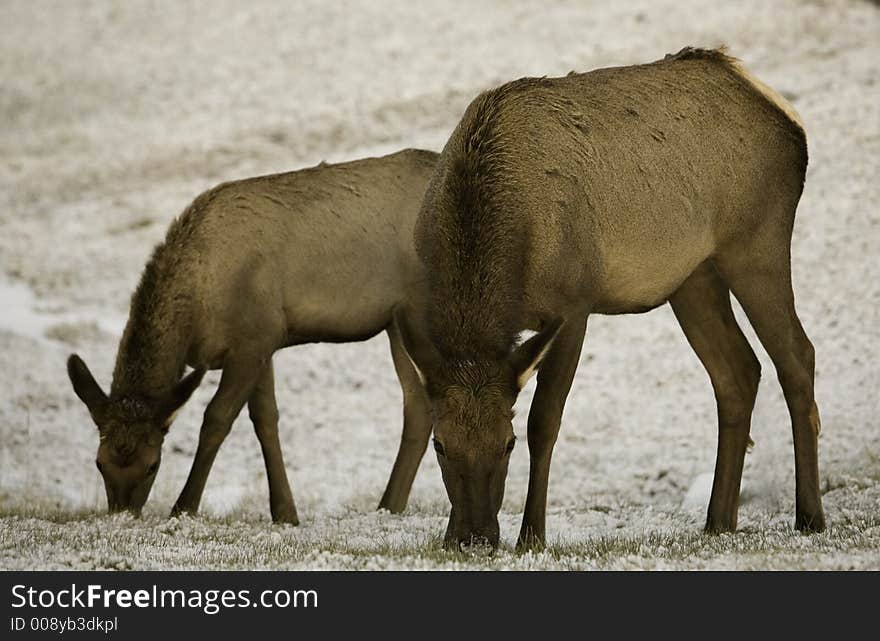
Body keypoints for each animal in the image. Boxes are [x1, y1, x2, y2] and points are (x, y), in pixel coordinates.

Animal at [67, 148, 438, 524]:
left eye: (152, 465)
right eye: (99, 463)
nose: (122, 516)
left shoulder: (253, 341)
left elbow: (216, 419)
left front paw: (183, 507)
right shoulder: (261, 342)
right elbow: (265, 419)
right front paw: (285, 513)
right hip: (395, 322)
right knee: (418, 406)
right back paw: (389, 505)